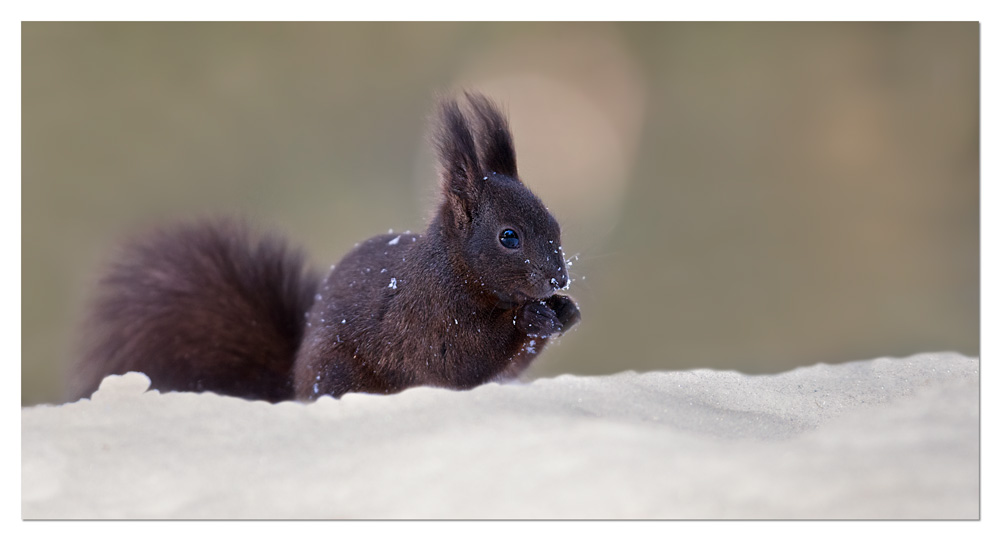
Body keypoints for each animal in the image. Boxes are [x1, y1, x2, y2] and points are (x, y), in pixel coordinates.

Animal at [69, 92, 581, 403]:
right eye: (509, 237)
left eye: (555, 223)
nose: (559, 277)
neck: (453, 270)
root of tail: (294, 386)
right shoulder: (426, 318)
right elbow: (461, 359)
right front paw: (532, 316)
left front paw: (566, 310)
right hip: (337, 374)